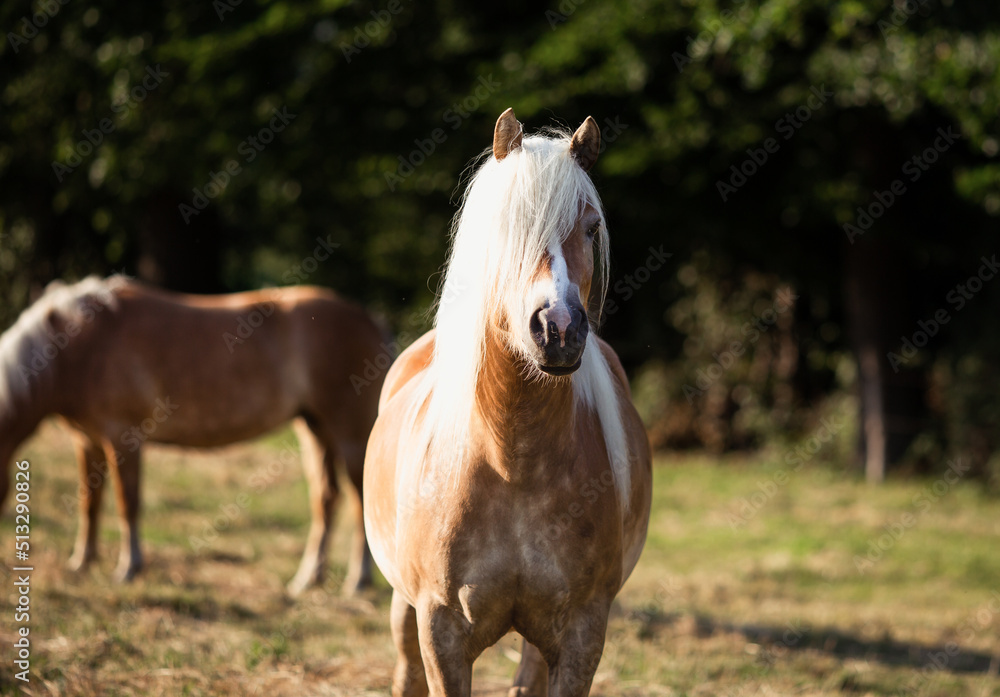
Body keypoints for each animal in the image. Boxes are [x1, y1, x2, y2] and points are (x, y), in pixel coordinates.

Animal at [0, 276, 387, 595]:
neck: (77, 347)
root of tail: (370, 320)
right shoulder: (87, 441)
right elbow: (90, 503)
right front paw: (82, 562)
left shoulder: (123, 437)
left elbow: (128, 502)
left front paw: (129, 568)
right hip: (316, 429)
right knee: (325, 498)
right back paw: (308, 578)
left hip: (350, 434)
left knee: (361, 500)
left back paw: (358, 580)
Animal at [363, 109, 652, 696]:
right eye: (505, 228)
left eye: (591, 227)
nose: (558, 329)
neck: (511, 461)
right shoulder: (441, 631)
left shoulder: (582, 633)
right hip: (404, 605)